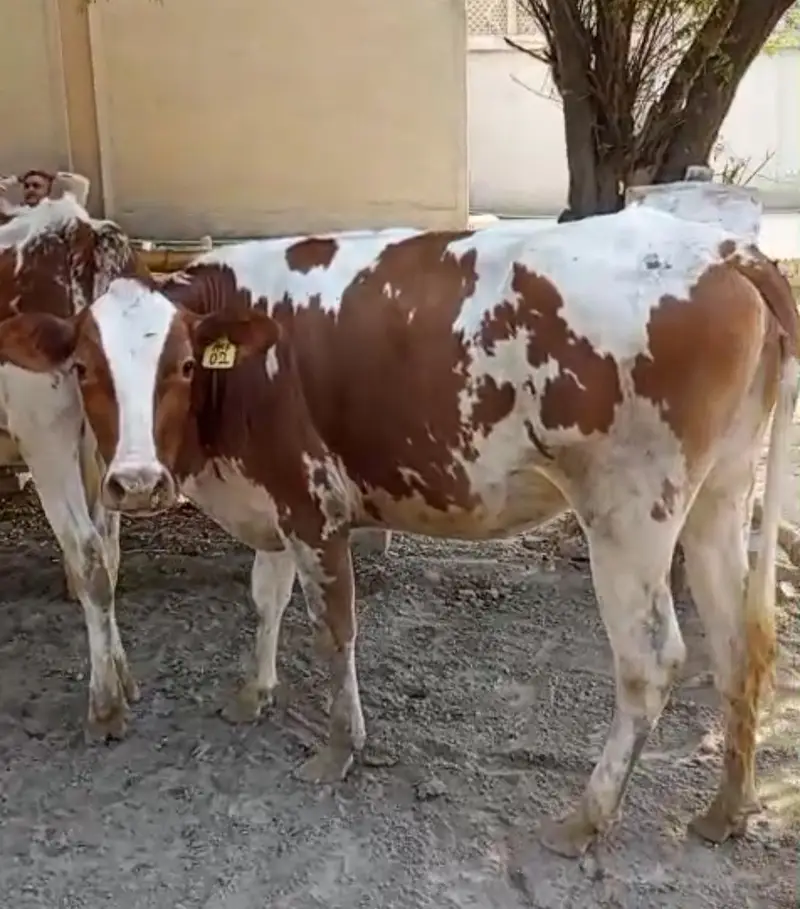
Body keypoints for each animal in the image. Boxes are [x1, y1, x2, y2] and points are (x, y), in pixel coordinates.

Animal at [0, 193, 143, 738]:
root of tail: (78, 230)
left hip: (43, 429)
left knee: (87, 550)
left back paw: (105, 704)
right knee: (108, 550)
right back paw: (122, 680)